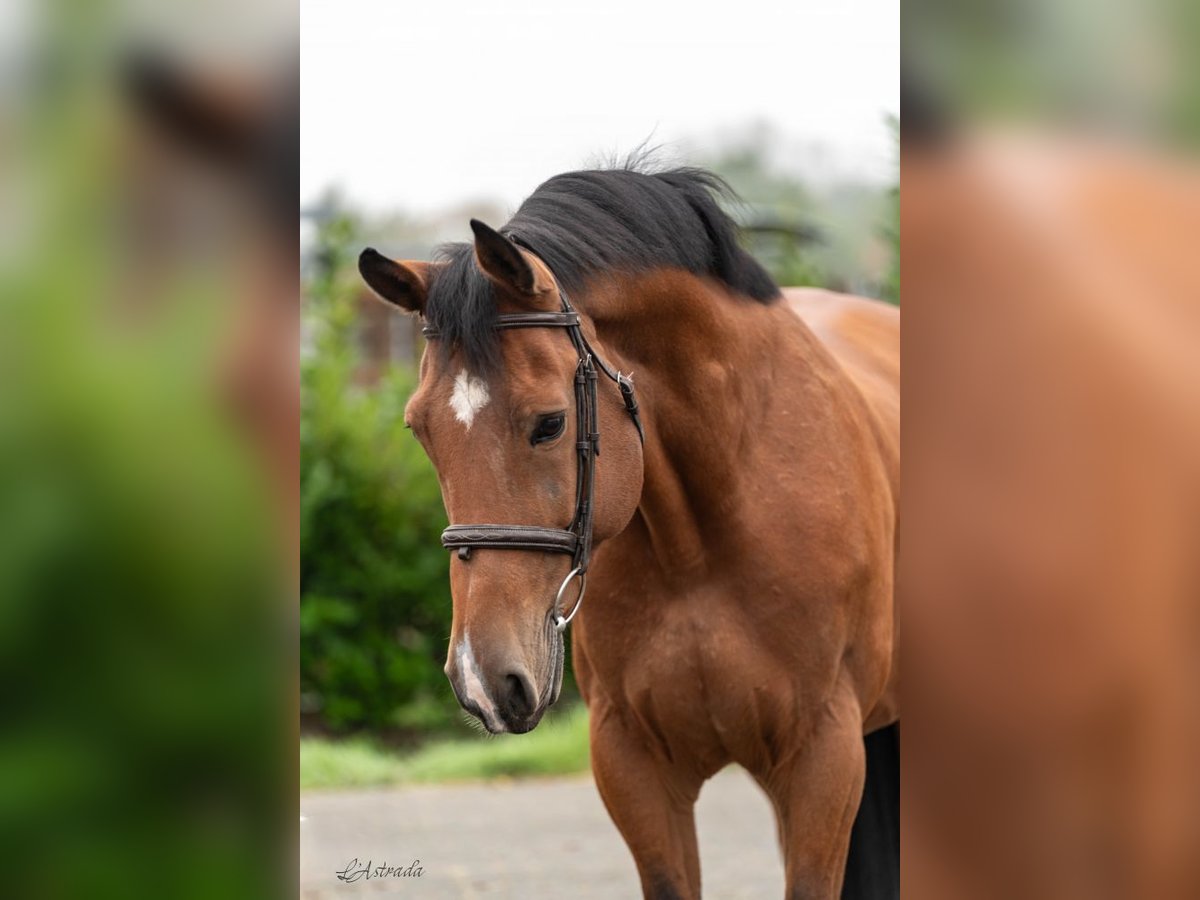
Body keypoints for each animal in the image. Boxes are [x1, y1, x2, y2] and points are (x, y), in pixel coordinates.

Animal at [357, 165, 902, 897]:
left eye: (551, 423)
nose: (482, 678)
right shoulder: (632, 765)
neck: (701, 547)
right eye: (419, 429)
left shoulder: (823, 759)